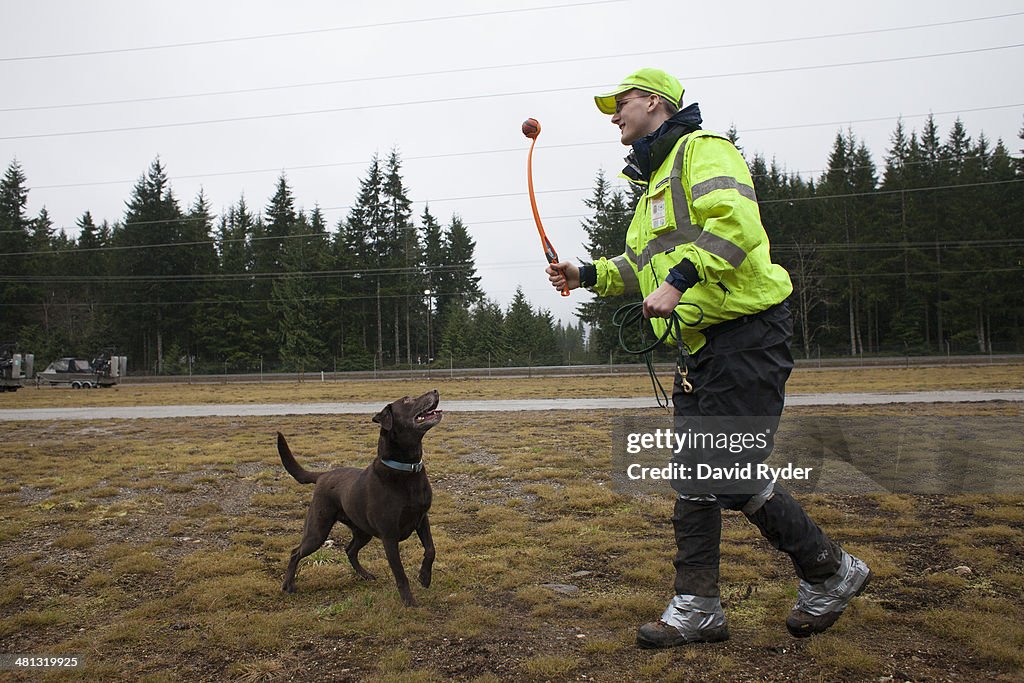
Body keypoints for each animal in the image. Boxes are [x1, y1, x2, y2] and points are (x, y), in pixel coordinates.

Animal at [278, 389, 442, 610]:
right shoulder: (389, 536)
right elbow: (400, 574)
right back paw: (288, 585)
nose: (435, 390)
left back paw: (364, 575)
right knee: (296, 552)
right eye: (407, 400)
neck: (406, 470)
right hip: (317, 530)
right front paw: (409, 602)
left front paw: (424, 578)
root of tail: (323, 475)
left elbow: (431, 550)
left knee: (349, 550)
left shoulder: (422, 519)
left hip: (363, 531)